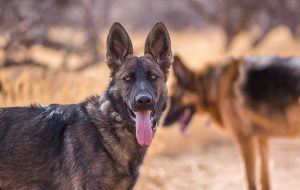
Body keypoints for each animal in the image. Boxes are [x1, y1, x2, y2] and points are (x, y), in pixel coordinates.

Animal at [165, 55, 300, 190]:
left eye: (172, 98)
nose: (163, 122)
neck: (216, 85)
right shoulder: (262, 138)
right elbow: (264, 180)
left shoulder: (244, 139)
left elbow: (250, 182)